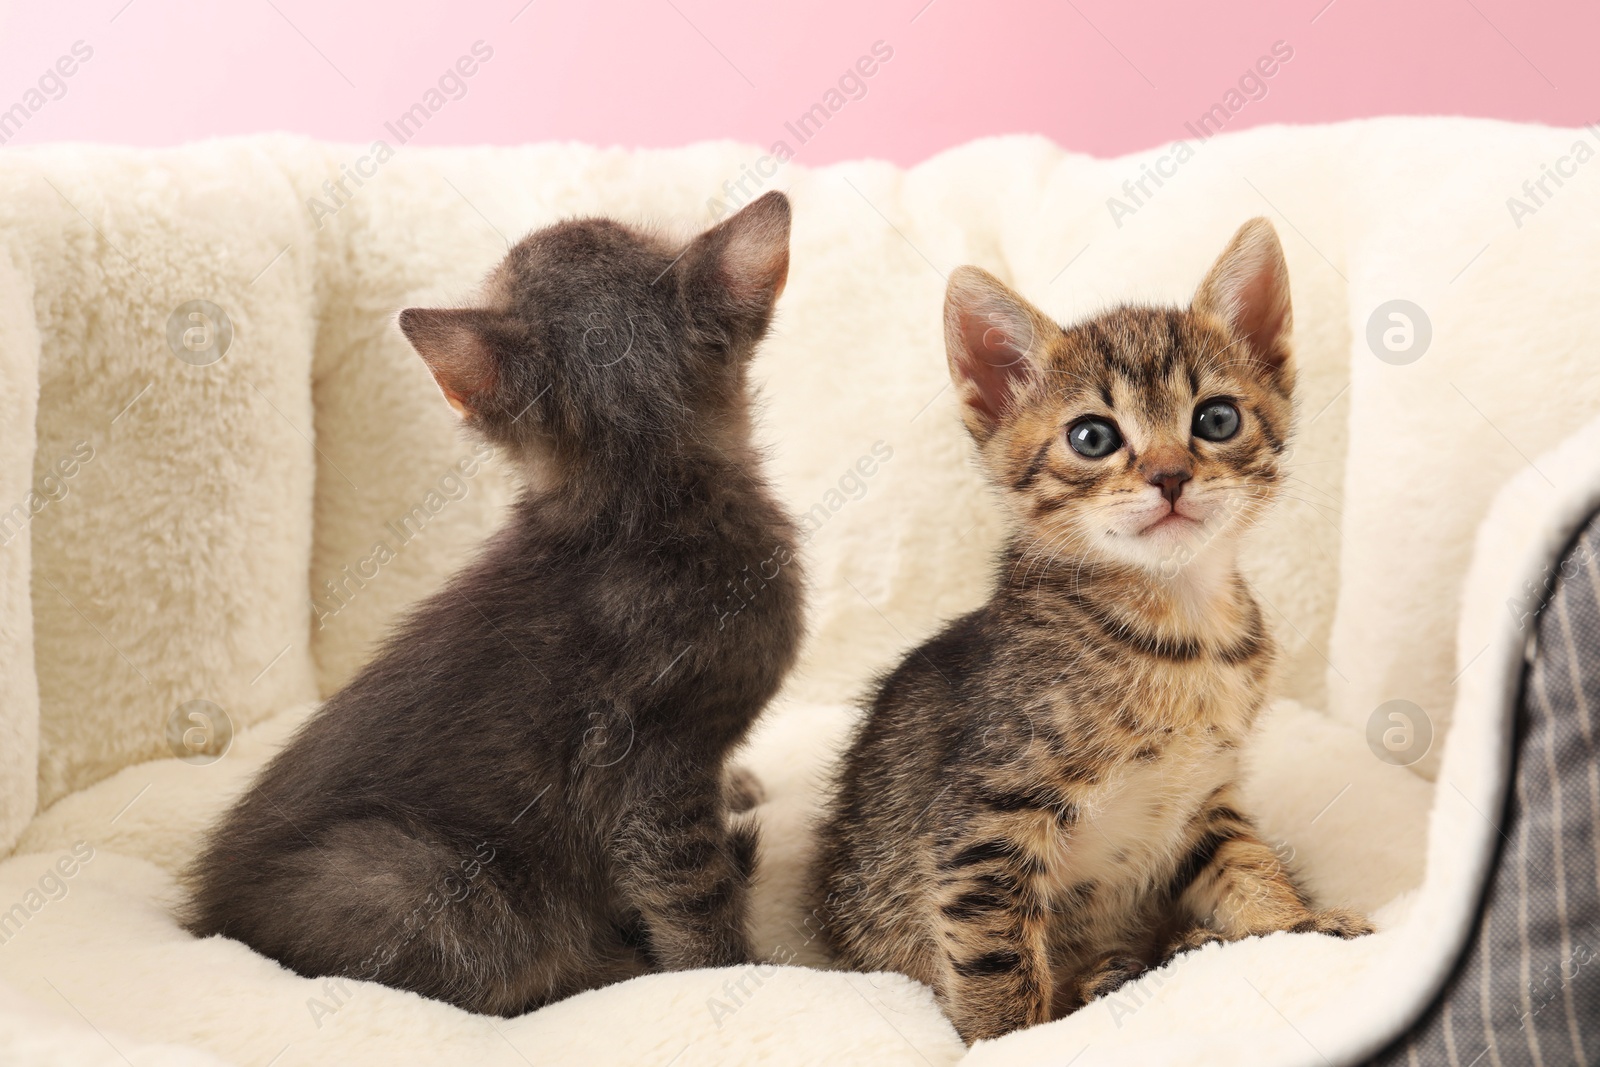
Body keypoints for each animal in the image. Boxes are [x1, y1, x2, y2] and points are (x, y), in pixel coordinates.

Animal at [185, 189, 806, 1017]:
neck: (642, 504)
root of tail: (208, 919)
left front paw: (736, 786)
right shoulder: (650, 762)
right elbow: (688, 896)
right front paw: (737, 971)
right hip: (419, 875)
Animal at [812, 219, 1376, 1043]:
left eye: (1216, 419)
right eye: (1092, 437)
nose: (1170, 476)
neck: (1182, 632)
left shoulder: (1204, 799)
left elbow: (1249, 864)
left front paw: (1294, 923)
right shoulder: (984, 819)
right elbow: (994, 954)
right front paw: (1010, 1040)